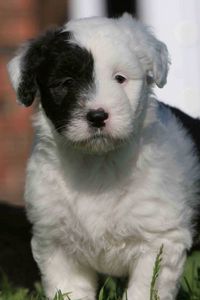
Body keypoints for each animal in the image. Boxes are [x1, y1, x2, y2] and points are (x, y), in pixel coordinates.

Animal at [7, 12, 200, 298]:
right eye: (66, 83)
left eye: (120, 78)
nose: (97, 116)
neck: (98, 163)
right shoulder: (57, 245)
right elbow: (69, 289)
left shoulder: (159, 241)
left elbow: (144, 290)